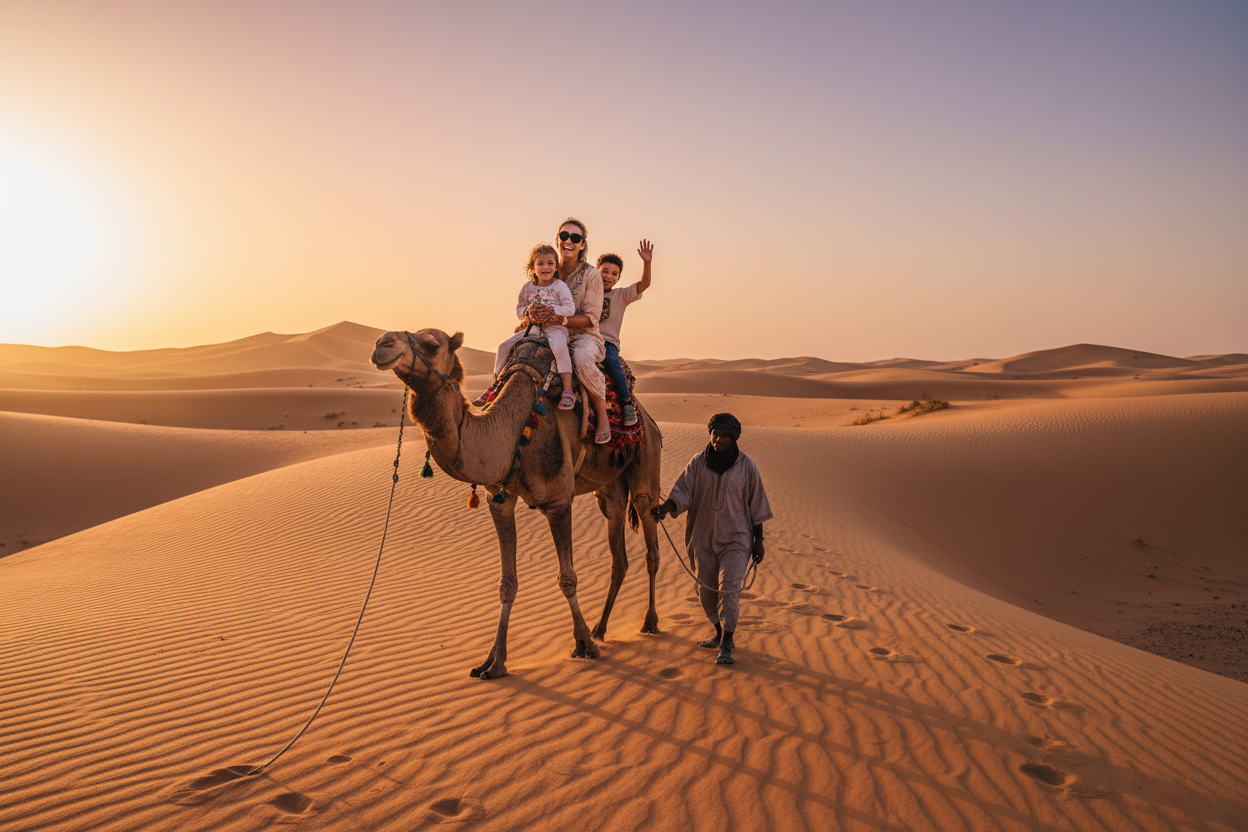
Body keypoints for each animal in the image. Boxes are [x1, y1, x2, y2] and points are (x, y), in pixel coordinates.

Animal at [371, 328, 663, 679]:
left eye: (431, 344)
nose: (382, 344)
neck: (511, 431)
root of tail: (647, 417)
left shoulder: (558, 500)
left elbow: (567, 578)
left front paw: (583, 646)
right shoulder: (499, 500)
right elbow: (506, 582)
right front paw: (493, 662)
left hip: (647, 461)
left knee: (650, 540)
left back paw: (648, 622)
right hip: (608, 491)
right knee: (618, 553)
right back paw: (601, 628)